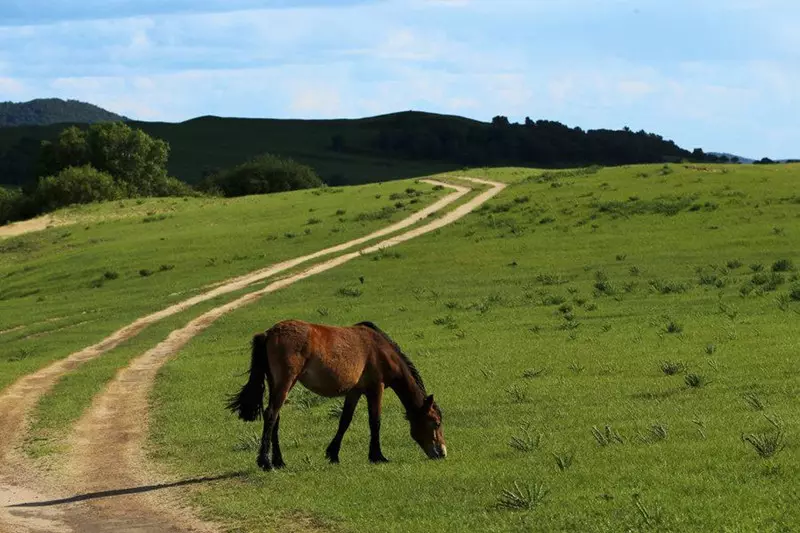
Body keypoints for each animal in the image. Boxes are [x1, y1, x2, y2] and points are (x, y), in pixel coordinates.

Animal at [228, 318, 446, 468]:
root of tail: (269, 333)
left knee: (276, 418)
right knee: (271, 415)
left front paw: (333, 454)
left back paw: (279, 461)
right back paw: (266, 462)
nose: (442, 452)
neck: (380, 349)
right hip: (285, 382)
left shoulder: (355, 392)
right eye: (435, 423)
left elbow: (344, 421)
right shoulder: (376, 388)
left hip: (277, 384)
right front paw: (377, 456)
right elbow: (375, 421)